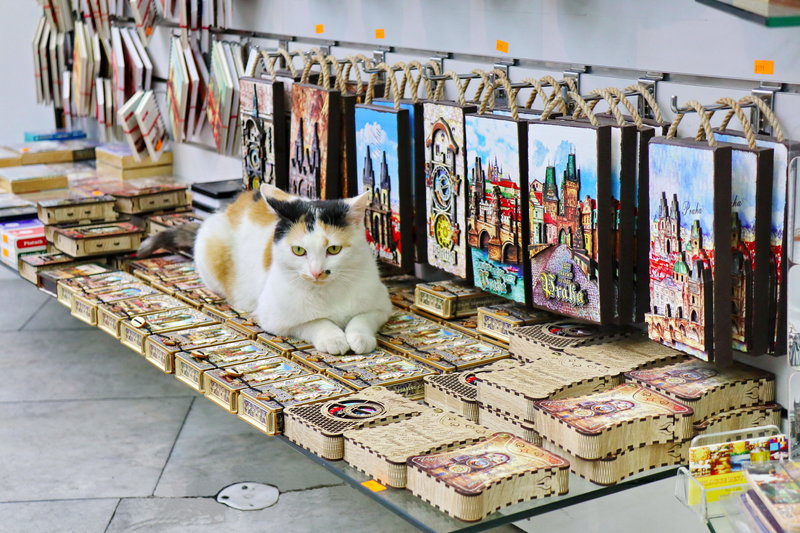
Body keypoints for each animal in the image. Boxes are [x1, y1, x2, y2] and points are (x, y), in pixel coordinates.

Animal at [139, 184, 392, 355]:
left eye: (334, 249)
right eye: (298, 250)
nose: (316, 272)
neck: (329, 292)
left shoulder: (382, 304)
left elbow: (362, 318)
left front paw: (359, 338)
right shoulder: (275, 318)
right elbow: (314, 322)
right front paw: (334, 338)